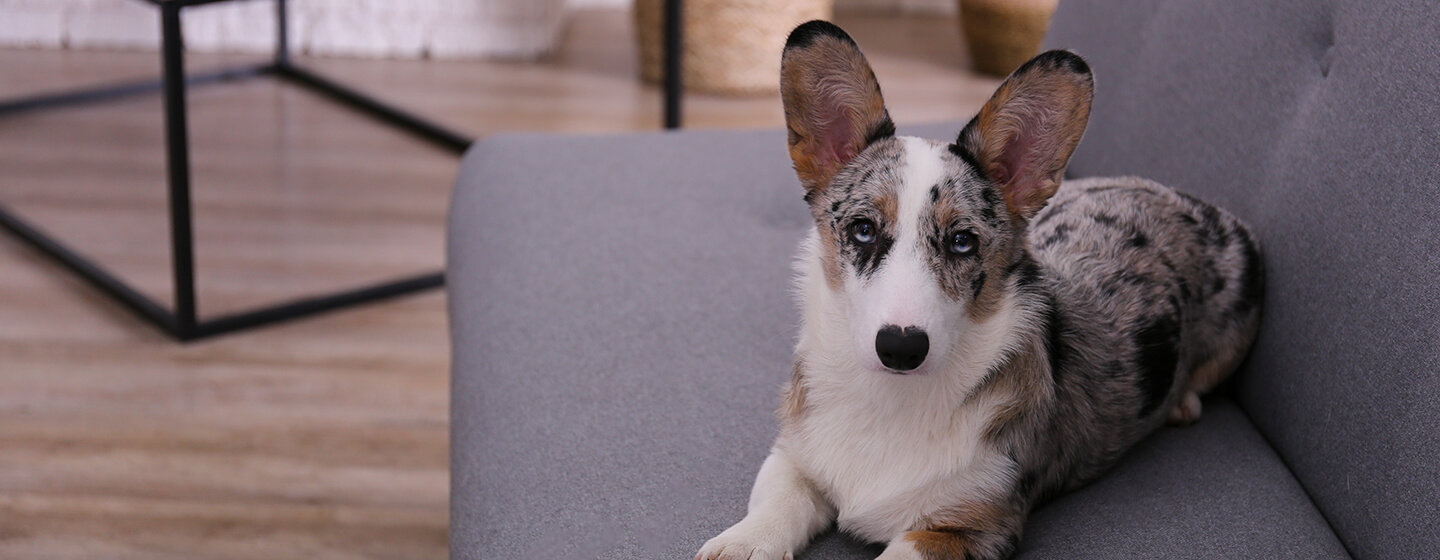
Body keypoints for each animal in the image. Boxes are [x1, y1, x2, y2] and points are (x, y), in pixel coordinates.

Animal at [694, 20, 1261, 558]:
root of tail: (1185, 198)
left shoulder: (969, 526)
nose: (901, 347)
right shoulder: (795, 455)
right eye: (863, 230)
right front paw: (743, 543)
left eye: (963, 241)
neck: (891, 399)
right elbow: (778, 501)